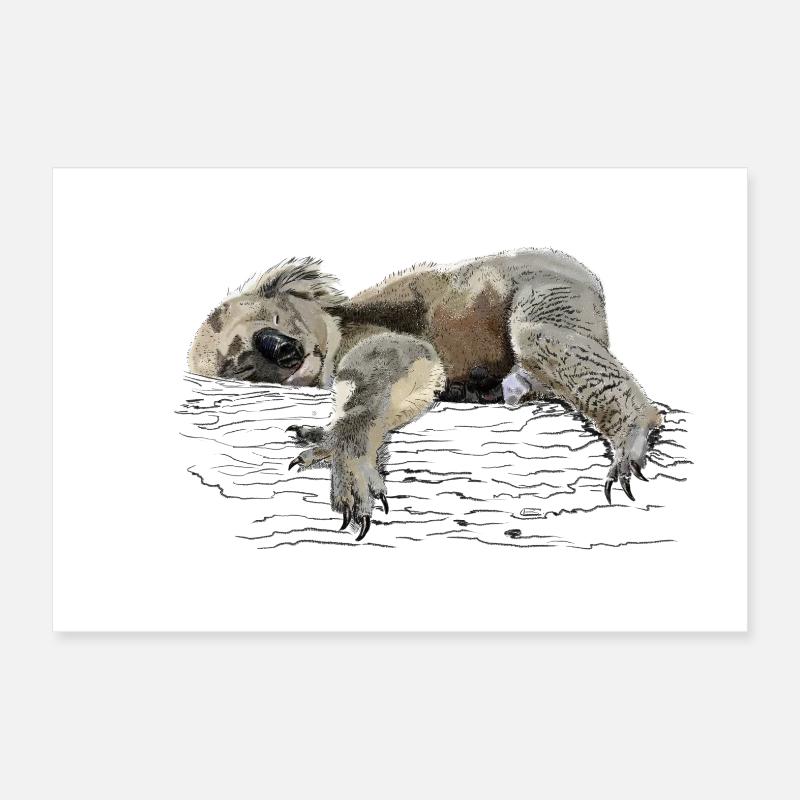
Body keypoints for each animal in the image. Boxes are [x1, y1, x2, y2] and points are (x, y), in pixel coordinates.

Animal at [189, 248, 662, 541]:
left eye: (276, 318)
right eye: (243, 365)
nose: (287, 351)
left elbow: (400, 360)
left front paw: (342, 452)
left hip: (550, 292)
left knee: (542, 338)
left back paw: (632, 432)